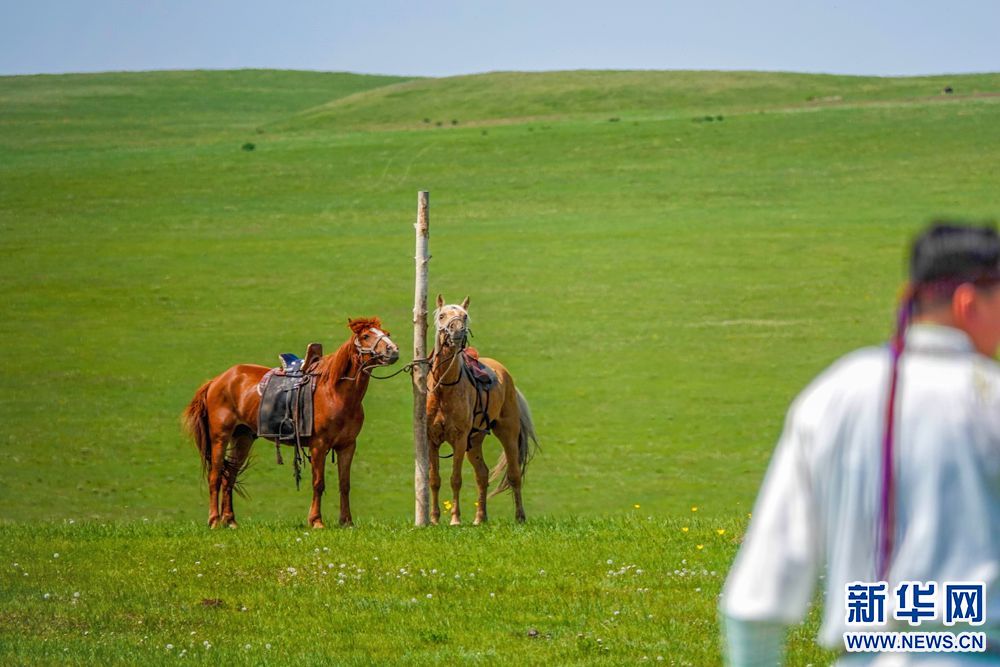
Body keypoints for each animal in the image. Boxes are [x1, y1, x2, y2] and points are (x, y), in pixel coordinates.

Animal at [184, 318, 398, 528]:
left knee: (230, 476)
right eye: (366, 336)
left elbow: (344, 485)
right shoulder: (319, 445)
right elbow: (318, 483)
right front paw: (316, 521)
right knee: (215, 477)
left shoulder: (347, 446)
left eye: (386, 334)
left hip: (243, 438)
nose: (393, 350)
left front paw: (347, 522)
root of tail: (216, 381)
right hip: (220, 438)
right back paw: (214, 520)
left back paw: (230, 521)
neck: (334, 392)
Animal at [428, 294, 540, 524]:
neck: (445, 388)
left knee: (514, 475)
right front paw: (433, 520)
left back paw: (519, 517)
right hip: (475, 440)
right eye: (442, 315)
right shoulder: (432, 439)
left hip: (507, 433)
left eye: (464, 316)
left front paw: (455, 519)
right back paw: (480, 518)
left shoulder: (459, 440)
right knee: (482, 474)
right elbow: (435, 479)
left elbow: (455, 479)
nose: (457, 332)